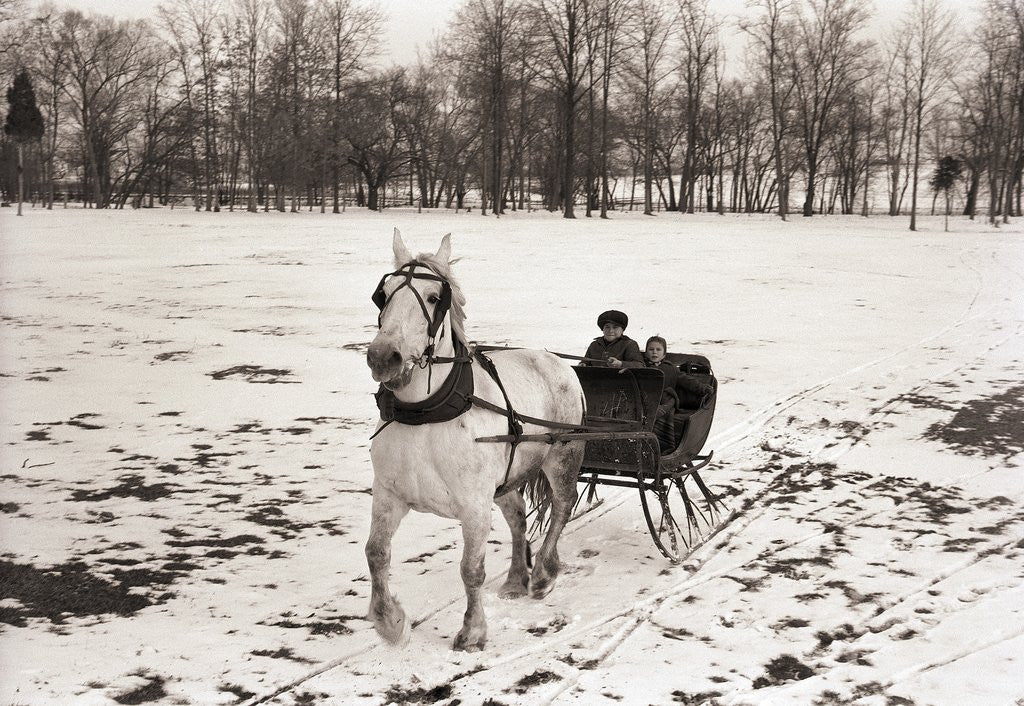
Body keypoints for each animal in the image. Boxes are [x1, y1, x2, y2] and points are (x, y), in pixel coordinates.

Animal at [365, 229, 586, 652]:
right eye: (382, 294)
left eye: (434, 297)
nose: (383, 356)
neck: (426, 414)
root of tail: (557, 361)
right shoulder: (389, 496)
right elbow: (376, 553)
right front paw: (390, 622)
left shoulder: (474, 507)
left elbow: (471, 570)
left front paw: (473, 631)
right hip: (505, 480)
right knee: (518, 518)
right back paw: (516, 579)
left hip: (562, 457)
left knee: (563, 507)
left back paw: (543, 574)